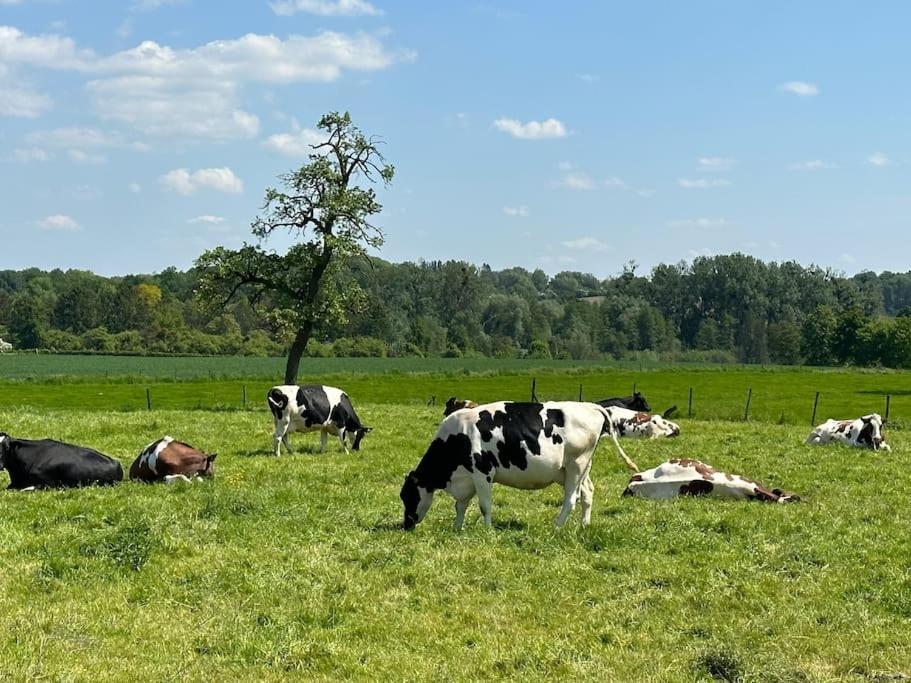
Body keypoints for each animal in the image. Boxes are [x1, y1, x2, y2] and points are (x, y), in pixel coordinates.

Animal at [400, 400, 640, 536]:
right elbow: (460, 506)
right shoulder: (466, 478)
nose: (406, 524)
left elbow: (484, 506)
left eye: (408, 496)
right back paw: (584, 526)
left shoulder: (482, 472)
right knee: (588, 493)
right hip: (577, 468)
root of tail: (591, 406)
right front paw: (457, 529)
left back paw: (556, 527)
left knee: (572, 499)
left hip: (576, 464)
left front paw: (487, 531)